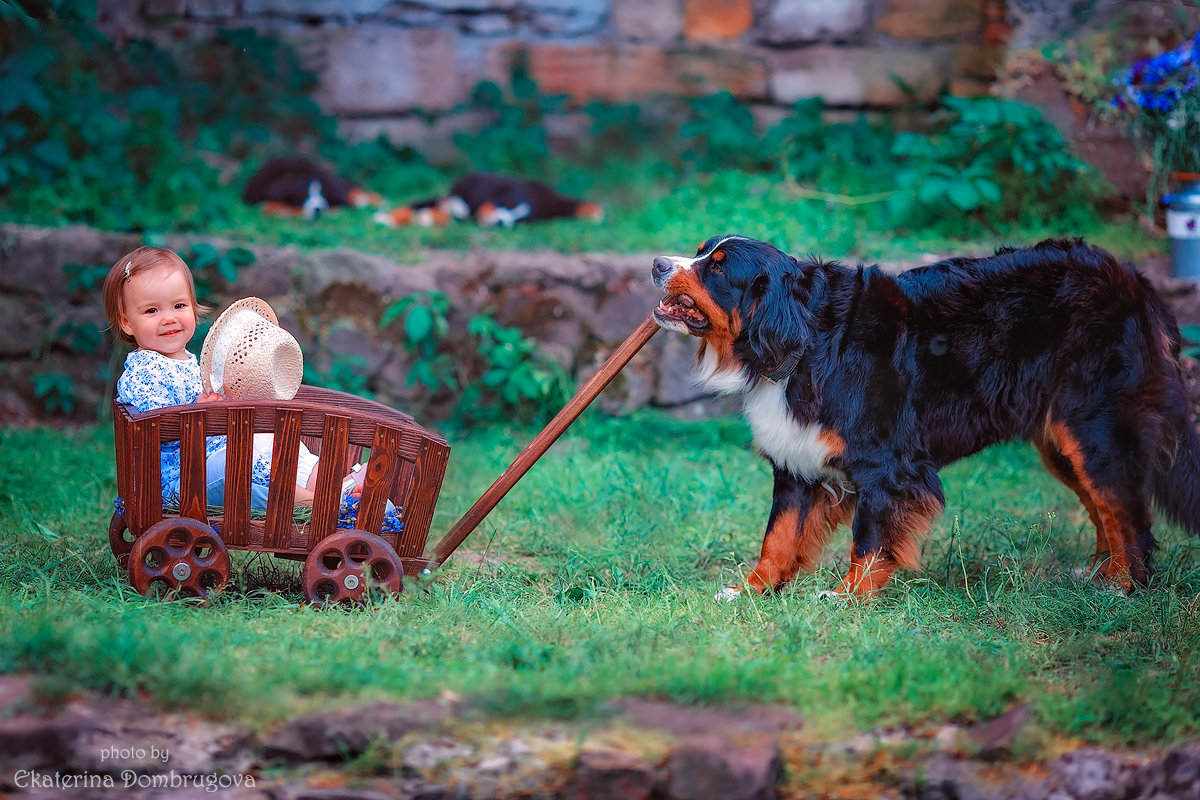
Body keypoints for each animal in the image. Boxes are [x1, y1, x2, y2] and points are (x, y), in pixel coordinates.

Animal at [652, 235, 1200, 597]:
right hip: (1062, 443)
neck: (807, 341)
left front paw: (850, 597)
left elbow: (869, 539)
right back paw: (1100, 576)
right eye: (701, 252)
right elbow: (778, 536)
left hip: (1095, 429)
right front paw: (751, 591)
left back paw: (1123, 587)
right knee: (1105, 508)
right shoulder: (795, 463)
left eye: (717, 268)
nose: (657, 263)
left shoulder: (885, 466)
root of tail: (1133, 278)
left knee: (1127, 514)